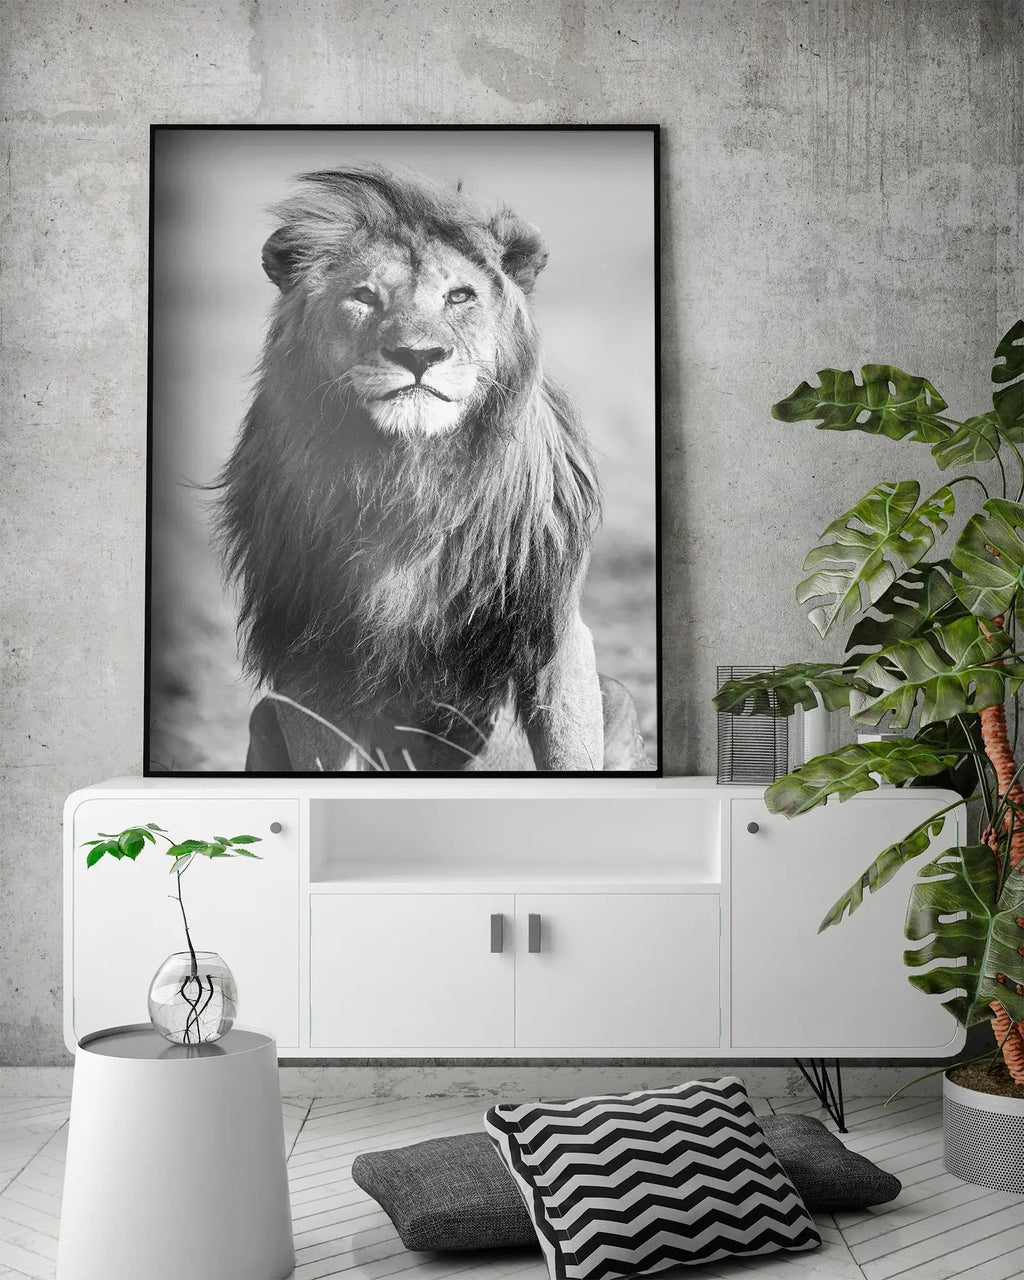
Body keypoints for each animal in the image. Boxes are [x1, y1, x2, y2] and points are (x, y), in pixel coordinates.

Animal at [216, 163, 649, 772]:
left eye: (459, 296)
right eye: (364, 297)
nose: (418, 355)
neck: (410, 476)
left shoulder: (553, 634)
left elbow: (570, 754)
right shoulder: (308, 657)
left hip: (620, 693)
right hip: (263, 715)